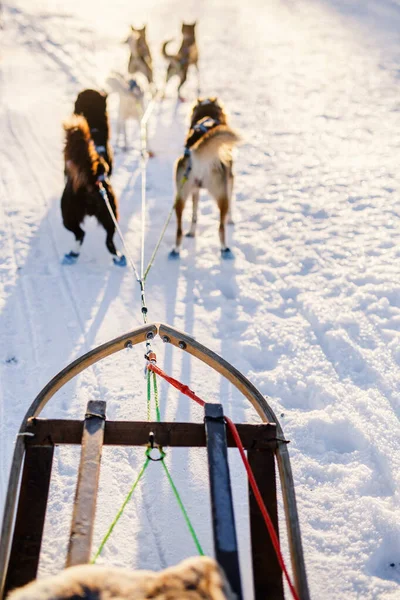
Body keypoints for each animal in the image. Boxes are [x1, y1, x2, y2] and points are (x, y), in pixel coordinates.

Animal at [61, 116, 126, 266]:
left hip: (68, 215)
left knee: (81, 234)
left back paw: (73, 254)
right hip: (109, 214)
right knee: (108, 239)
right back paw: (118, 257)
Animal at [170, 98, 239, 258]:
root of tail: (195, 156)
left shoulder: (195, 190)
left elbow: (194, 214)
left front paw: (192, 231)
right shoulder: (230, 179)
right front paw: (231, 220)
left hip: (180, 195)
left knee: (179, 229)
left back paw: (177, 248)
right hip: (221, 194)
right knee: (221, 227)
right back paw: (224, 247)